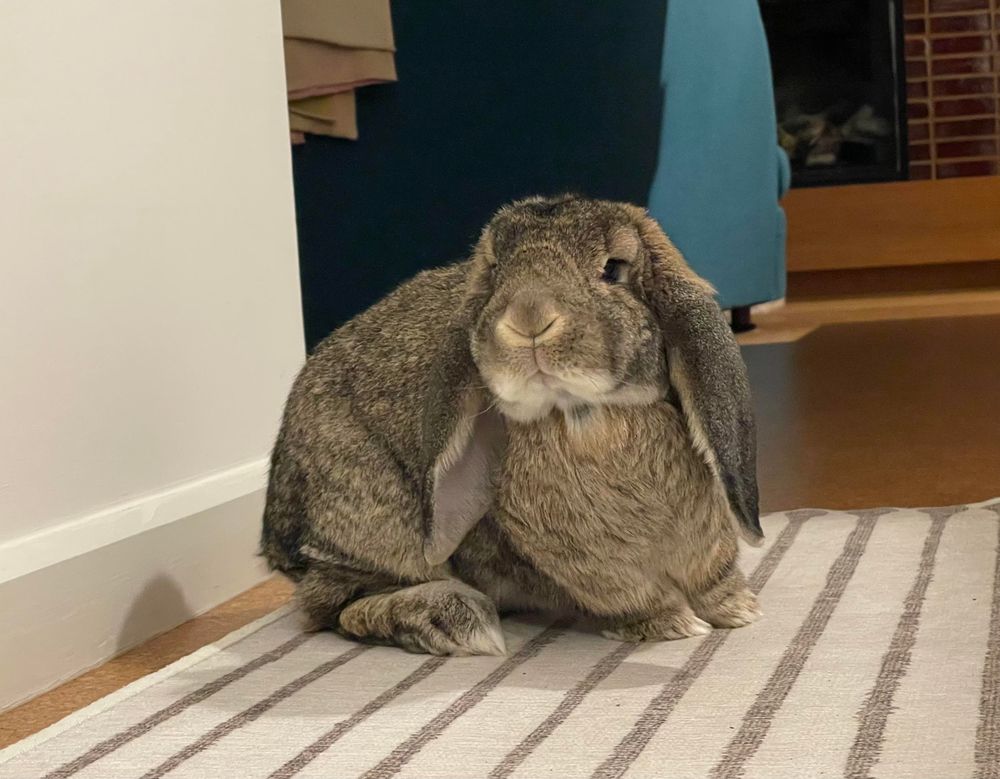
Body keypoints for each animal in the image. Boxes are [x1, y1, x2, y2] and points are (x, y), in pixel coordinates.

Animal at [261, 195, 763, 656]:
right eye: (497, 271)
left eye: (613, 269)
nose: (529, 318)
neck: (583, 414)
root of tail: (276, 538)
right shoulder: (591, 568)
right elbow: (634, 596)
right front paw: (673, 624)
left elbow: (715, 578)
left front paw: (740, 610)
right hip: (373, 527)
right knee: (333, 607)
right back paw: (456, 622)